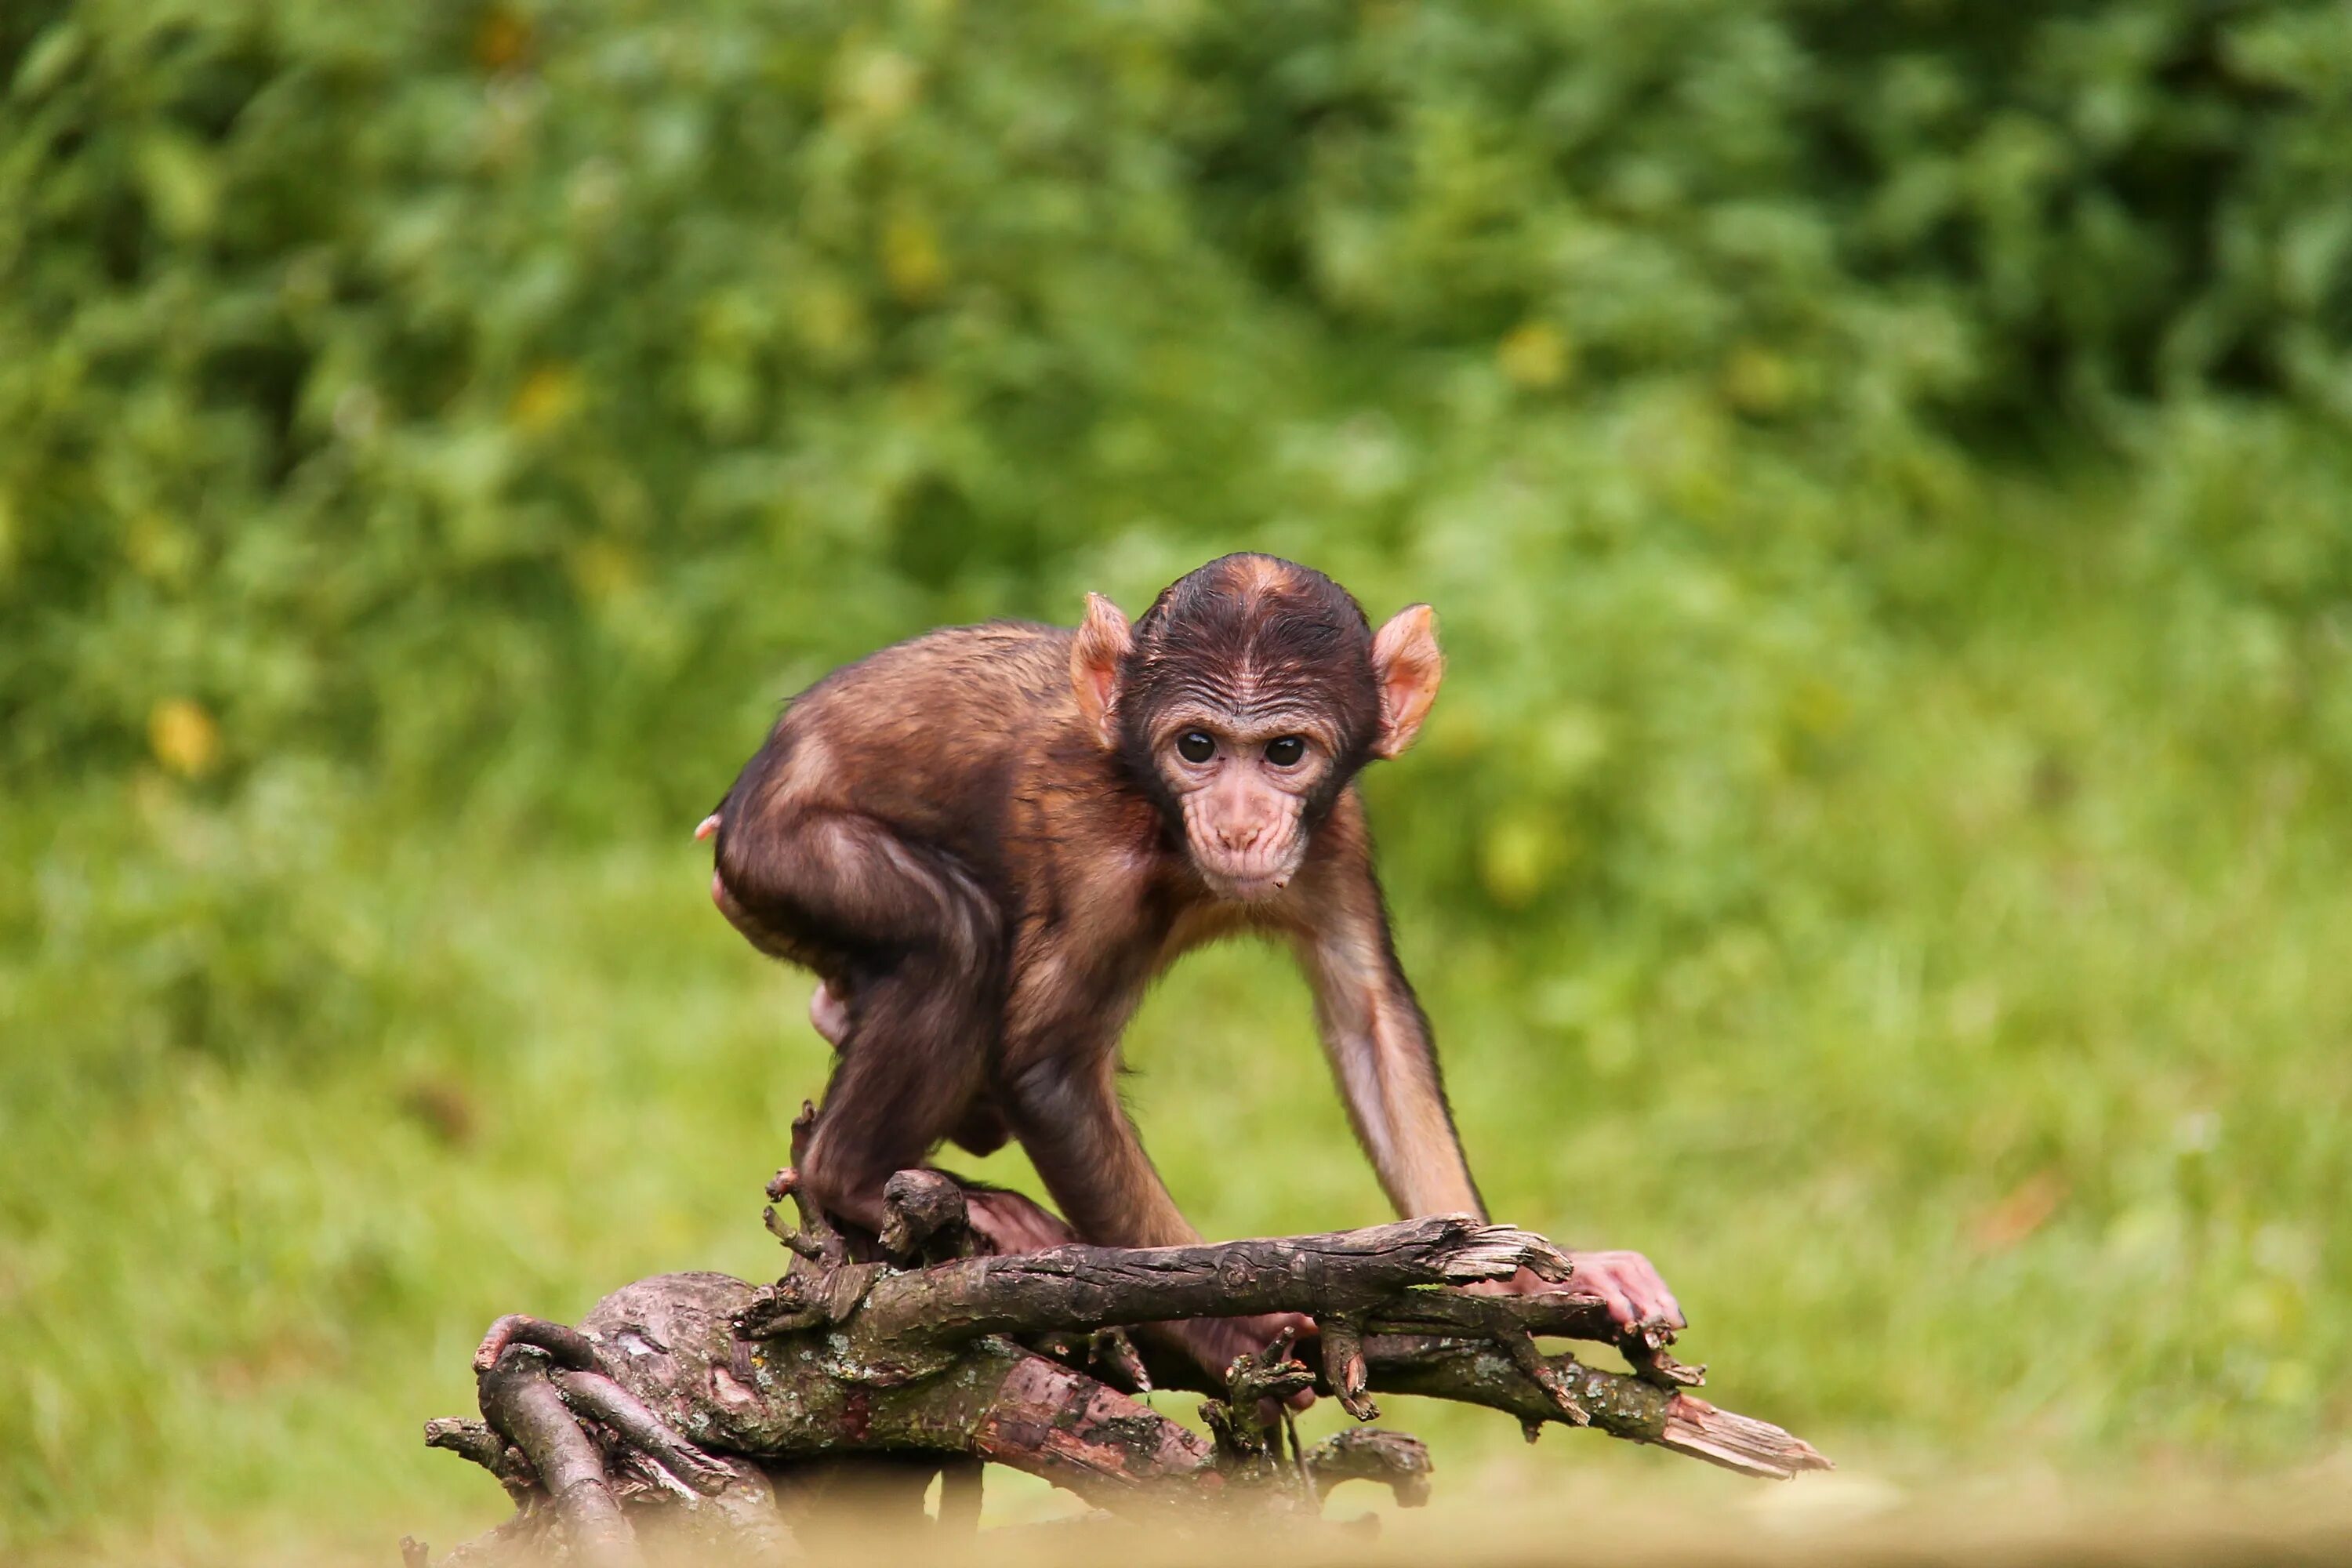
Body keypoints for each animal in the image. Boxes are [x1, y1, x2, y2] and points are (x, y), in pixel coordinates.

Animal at [701, 553, 1681, 1380]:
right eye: (1198, 746)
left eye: (1284, 751)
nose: (1241, 822)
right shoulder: (1094, 854)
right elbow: (1050, 1070)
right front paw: (1225, 1323)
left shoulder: (1338, 833)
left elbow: (1372, 1022)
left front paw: (1529, 1273)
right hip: (784, 850)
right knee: (953, 936)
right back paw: (852, 1176)